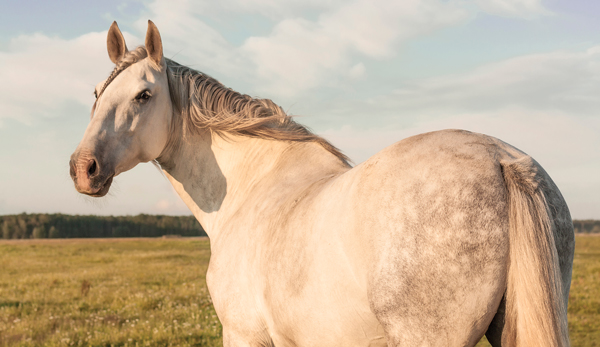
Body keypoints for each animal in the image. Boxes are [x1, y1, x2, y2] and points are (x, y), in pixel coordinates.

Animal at [70, 21, 576, 347]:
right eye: (96, 93)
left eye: (144, 95)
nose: (82, 168)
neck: (249, 191)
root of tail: (500, 159)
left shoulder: (244, 336)